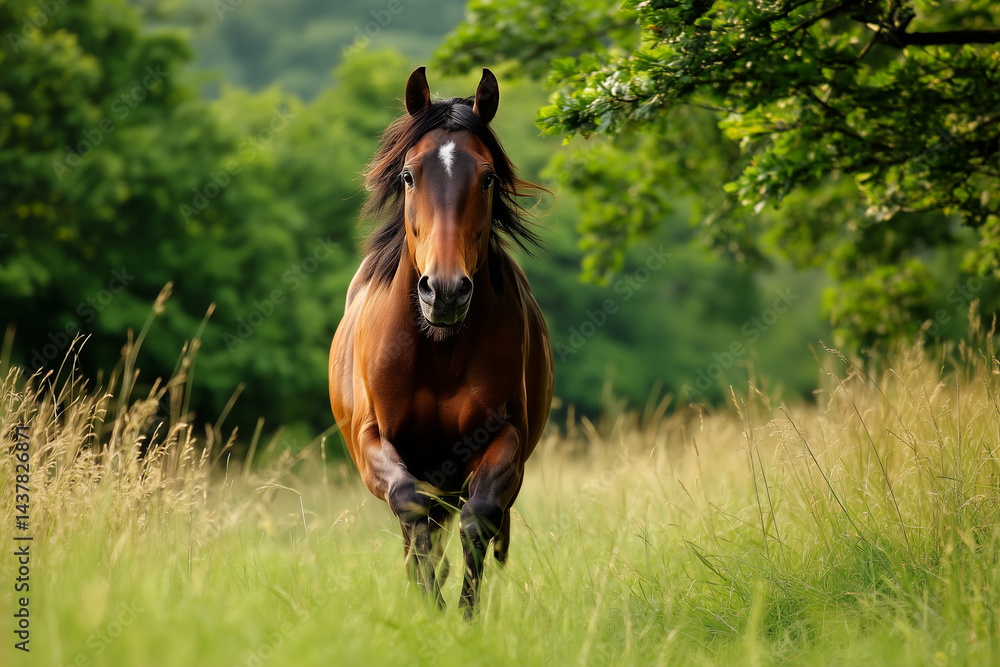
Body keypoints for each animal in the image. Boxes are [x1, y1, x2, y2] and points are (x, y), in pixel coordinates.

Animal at [329, 66, 553, 616]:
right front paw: (430, 608)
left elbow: (480, 517)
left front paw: (466, 616)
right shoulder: (372, 441)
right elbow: (412, 512)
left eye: (487, 177)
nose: (446, 291)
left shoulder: (503, 439)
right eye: (409, 175)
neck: (439, 350)